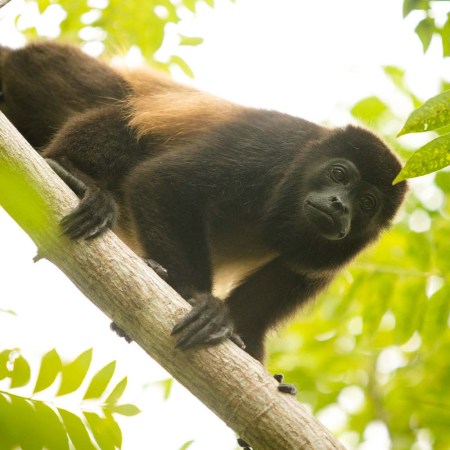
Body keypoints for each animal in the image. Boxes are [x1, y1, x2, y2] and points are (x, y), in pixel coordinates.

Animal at [0, 41, 408, 366]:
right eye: (339, 175)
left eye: (367, 203)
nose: (339, 206)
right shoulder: (270, 148)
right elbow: (163, 181)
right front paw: (199, 300)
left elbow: (276, 291)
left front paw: (250, 348)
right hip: (49, 69)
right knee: (125, 111)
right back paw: (72, 172)